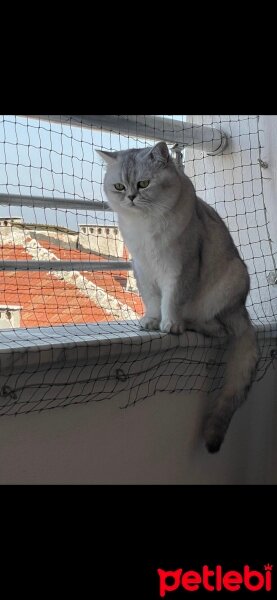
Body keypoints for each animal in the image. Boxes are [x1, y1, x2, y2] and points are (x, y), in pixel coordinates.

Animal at [96, 142, 258, 450]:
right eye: (119, 186)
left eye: (144, 184)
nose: (131, 197)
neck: (145, 225)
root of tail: (241, 310)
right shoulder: (142, 268)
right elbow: (152, 301)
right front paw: (151, 322)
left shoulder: (180, 267)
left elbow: (172, 300)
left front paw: (169, 325)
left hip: (231, 279)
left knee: (216, 328)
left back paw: (189, 325)